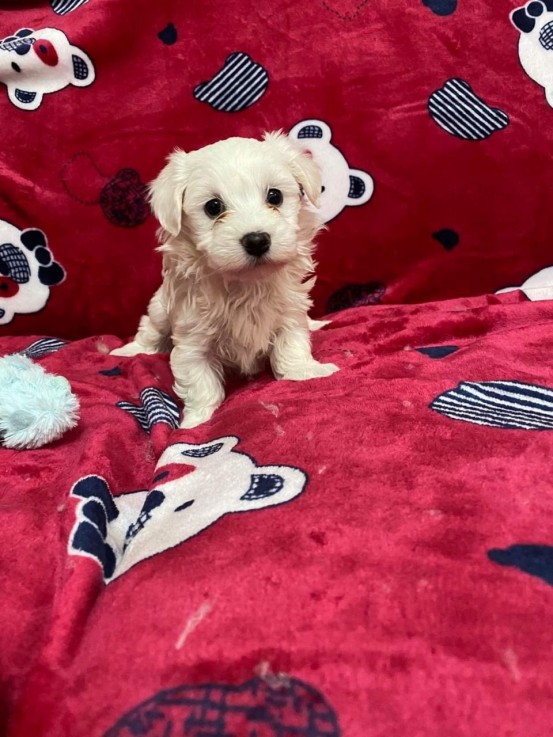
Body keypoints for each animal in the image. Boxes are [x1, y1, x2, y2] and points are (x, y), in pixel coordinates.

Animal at [111, 134, 336, 426]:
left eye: (274, 196)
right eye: (213, 207)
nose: (257, 240)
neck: (246, 283)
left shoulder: (288, 314)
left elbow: (292, 345)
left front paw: (305, 372)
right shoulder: (192, 336)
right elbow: (200, 380)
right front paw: (196, 421)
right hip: (160, 308)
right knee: (150, 329)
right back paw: (131, 350)